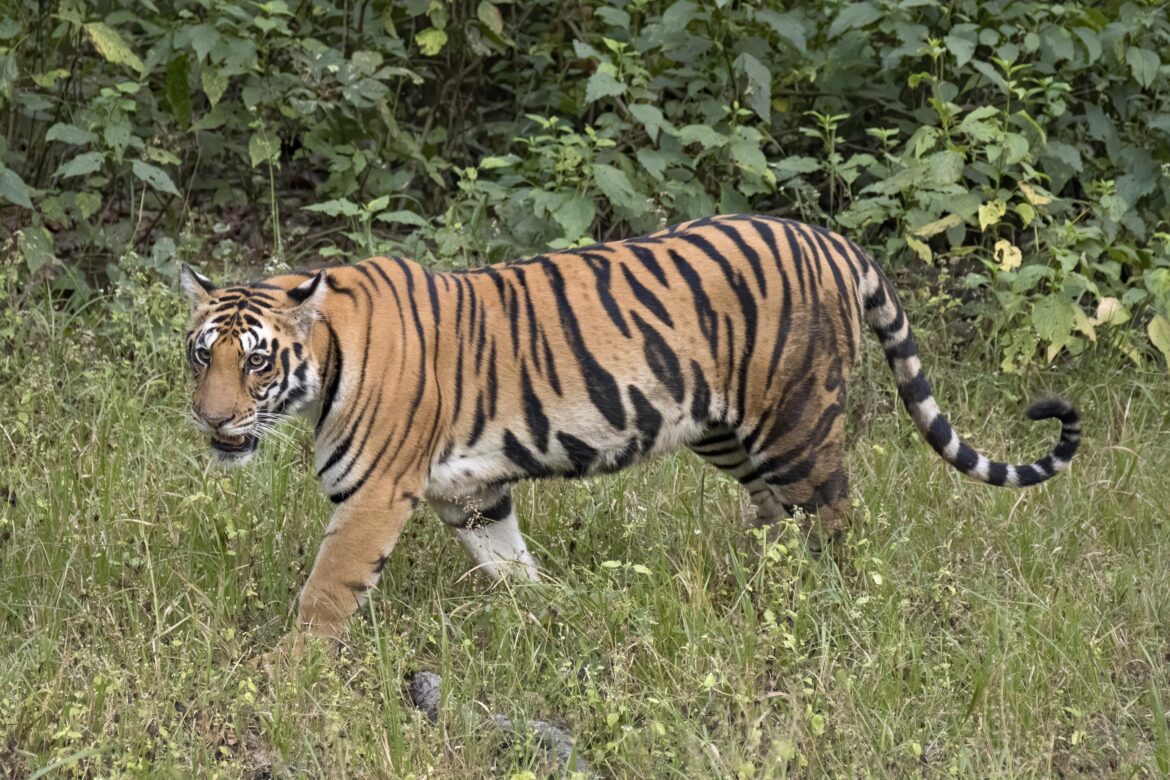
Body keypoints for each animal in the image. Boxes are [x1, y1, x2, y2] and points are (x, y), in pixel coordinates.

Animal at [180, 214, 1081, 644]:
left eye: (256, 362)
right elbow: (510, 563)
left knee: (834, 521)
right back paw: (755, 588)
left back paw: (829, 606)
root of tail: (831, 240)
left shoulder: (373, 496)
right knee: (775, 517)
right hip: (727, 431)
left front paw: (289, 672)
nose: (211, 419)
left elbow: (327, 591)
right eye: (200, 356)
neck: (324, 365)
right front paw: (547, 616)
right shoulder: (471, 492)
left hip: (796, 424)